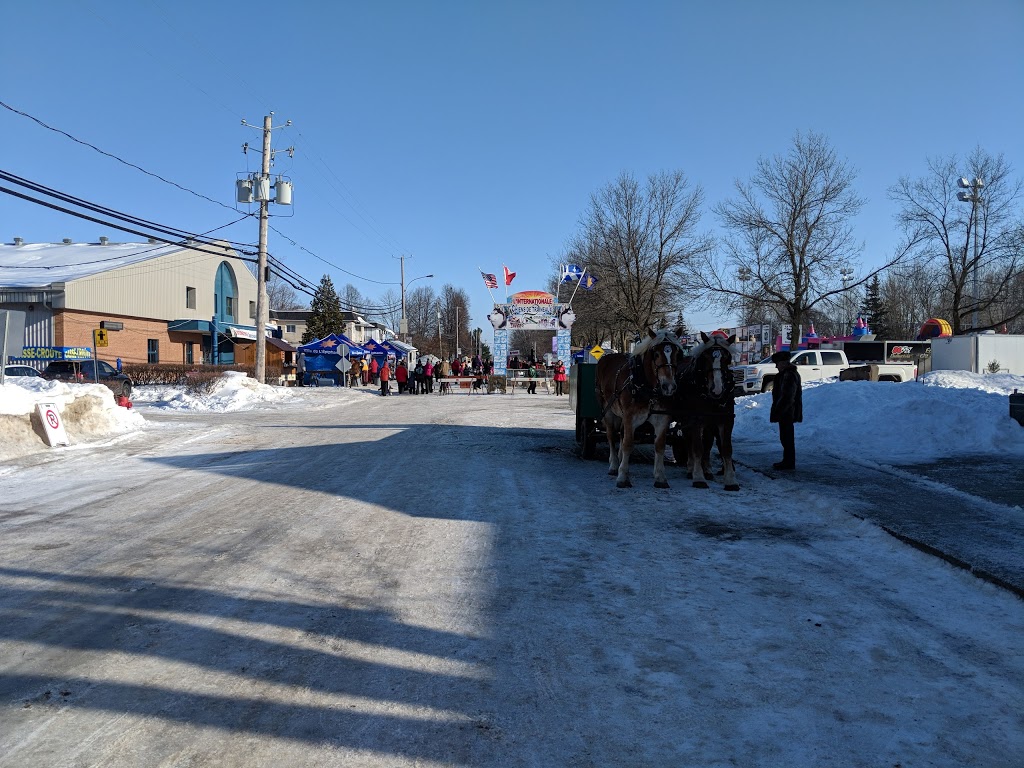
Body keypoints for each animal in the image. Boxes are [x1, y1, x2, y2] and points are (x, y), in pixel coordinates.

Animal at [593, 329, 688, 487]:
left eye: (677, 354)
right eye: (656, 354)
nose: (668, 386)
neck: (648, 389)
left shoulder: (662, 418)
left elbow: (659, 445)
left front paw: (660, 477)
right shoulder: (630, 417)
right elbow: (628, 444)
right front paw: (622, 477)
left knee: (621, 434)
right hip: (608, 411)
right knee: (612, 436)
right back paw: (614, 465)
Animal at [675, 331, 741, 493]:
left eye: (726, 358)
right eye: (705, 358)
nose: (716, 389)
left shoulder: (726, 420)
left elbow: (726, 449)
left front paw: (731, 480)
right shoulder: (696, 420)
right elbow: (697, 447)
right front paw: (698, 477)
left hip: (710, 423)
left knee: (708, 442)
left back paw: (708, 470)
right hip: (687, 420)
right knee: (689, 441)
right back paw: (691, 468)